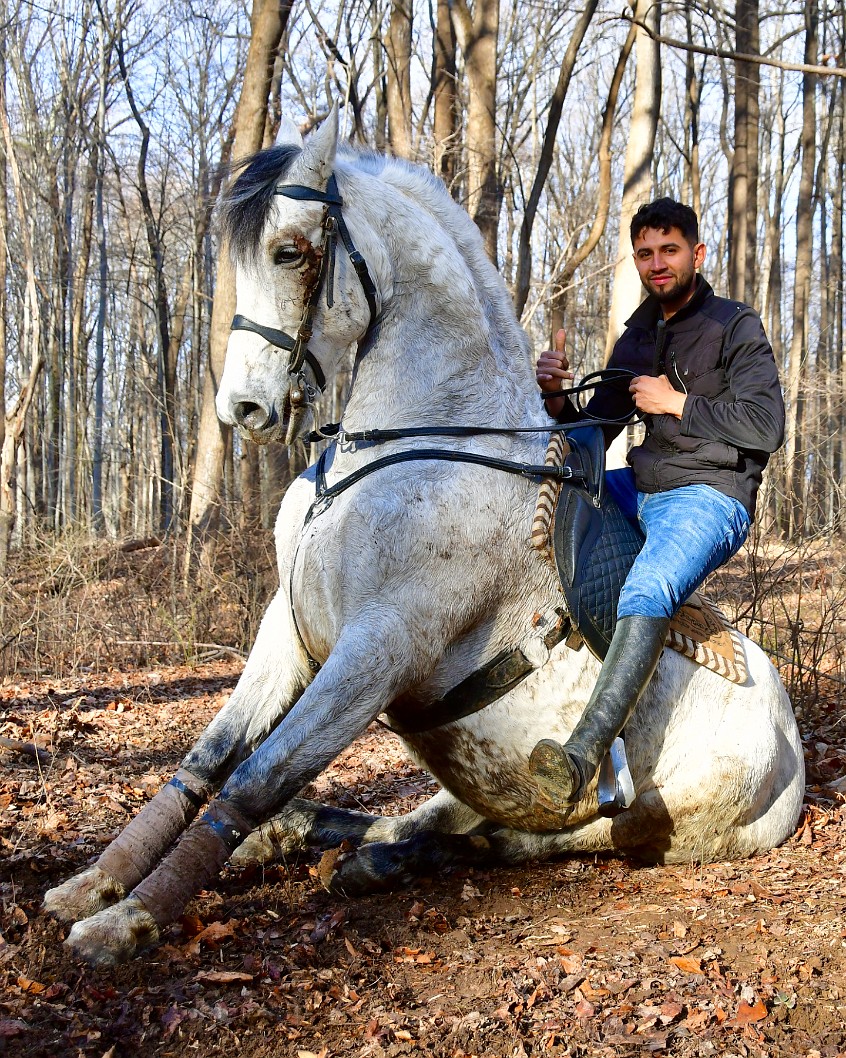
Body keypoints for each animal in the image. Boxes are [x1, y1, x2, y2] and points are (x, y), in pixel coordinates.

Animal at [42, 111, 803, 964]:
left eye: (289, 251)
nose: (242, 408)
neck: (418, 440)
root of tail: (795, 749)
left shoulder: (381, 648)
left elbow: (257, 775)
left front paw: (127, 921)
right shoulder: (288, 633)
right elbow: (207, 759)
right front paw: (94, 885)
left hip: (639, 820)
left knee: (507, 839)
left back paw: (374, 860)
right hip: (472, 778)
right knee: (422, 816)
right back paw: (307, 838)